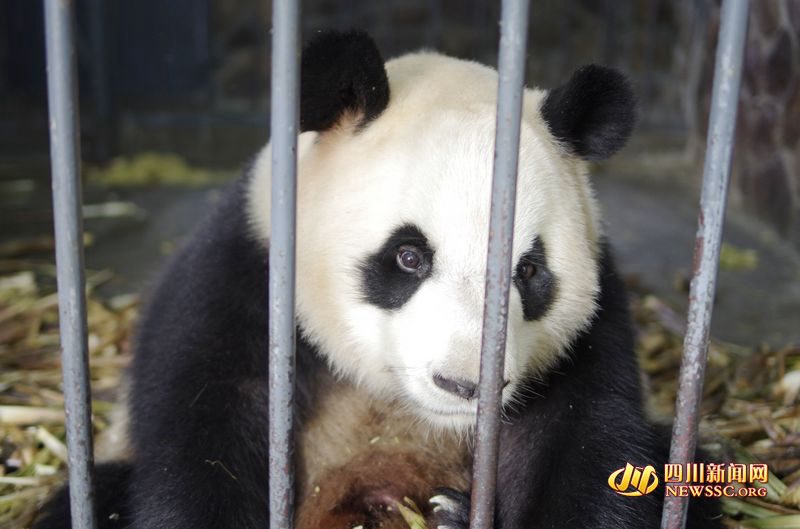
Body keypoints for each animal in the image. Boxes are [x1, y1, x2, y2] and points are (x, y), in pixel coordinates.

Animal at [34, 30, 721, 529]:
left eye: (529, 271)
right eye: (409, 257)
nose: (464, 385)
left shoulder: (590, 332)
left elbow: (587, 446)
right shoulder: (241, 273)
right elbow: (202, 435)